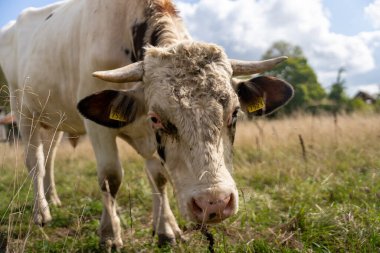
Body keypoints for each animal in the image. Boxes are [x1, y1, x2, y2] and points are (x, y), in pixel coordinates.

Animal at [0, 0, 294, 249]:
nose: (214, 204)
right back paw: (41, 212)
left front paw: (166, 229)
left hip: (54, 123)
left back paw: (53, 199)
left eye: (234, 113)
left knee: (49, 158)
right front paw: (110, 234)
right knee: (35, 162)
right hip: (23, 113)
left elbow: (159, 177)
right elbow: (110, 178)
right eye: (156, 117)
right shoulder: (98, 128)